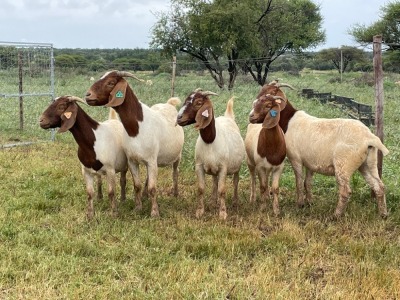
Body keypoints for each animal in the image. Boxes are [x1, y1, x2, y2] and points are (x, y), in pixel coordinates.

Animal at [85, 70, 184, 218]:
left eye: (111, 82)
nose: (88, 95)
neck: (136, 128)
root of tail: (169, 104)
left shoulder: (151, 160)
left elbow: (153, 188)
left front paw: (154, 213)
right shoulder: (132, 160)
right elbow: (137, 185)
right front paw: (138, 207)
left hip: (177, 155)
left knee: (175, 172)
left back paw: (175, 194)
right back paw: (144, 196)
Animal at [177, 89, 245, 220]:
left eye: (198, 103)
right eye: (186, 100)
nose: (179, 118)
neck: (210, 141)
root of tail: (228, 117)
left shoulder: (223, 168)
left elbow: (222, 190)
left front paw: (222, 213)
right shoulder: (199, 166)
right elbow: (201, 189)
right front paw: (200, 211)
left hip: (236, 167)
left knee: (235, 182)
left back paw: (235, 201)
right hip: (213, 168)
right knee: (214, 182)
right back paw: (213, 201)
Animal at [252, 81, 390, 218]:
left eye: (270, 94)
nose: (252, 116)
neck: (290, 120)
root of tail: (369, 138)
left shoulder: (295, 159)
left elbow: (299, 183)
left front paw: (300, 204)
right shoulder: (310, 162)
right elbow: (307, 183)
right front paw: (309, 202)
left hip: (344, 165)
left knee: (345, 191)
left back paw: (335, 215)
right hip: (368, 163)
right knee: (379, 186)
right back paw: (383, 214)